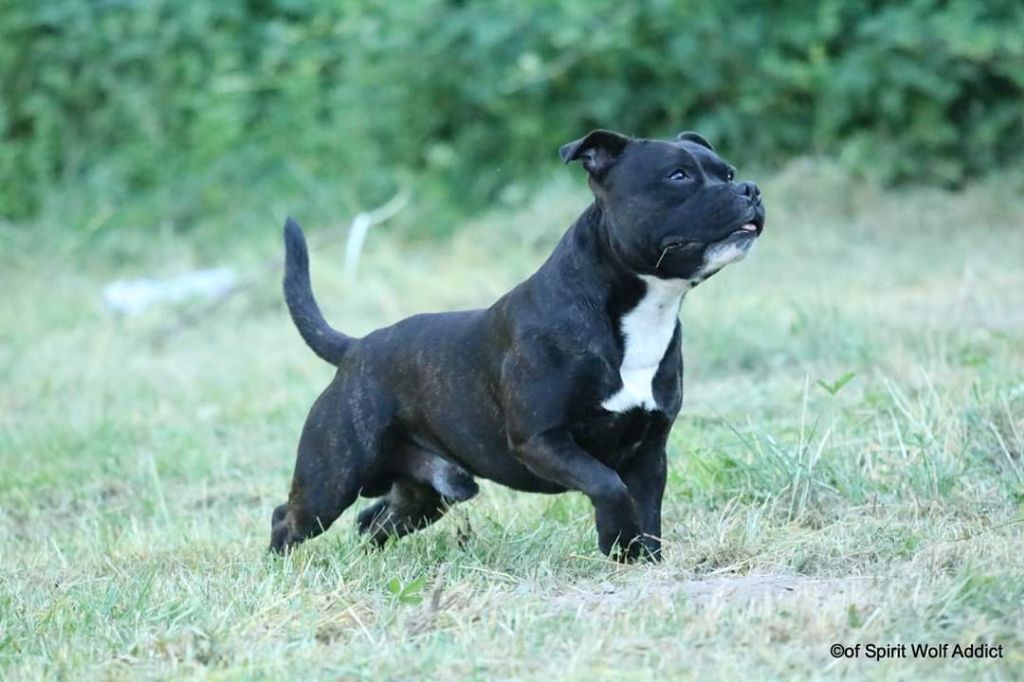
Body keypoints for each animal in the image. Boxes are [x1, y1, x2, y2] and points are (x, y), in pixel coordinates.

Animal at [270, 129, 765, 562]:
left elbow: (648, 514)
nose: (750, 188)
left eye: (727, 172)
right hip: (331, 480)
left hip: (428, 491)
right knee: (289, 517)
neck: (641, 311)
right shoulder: (542, 439)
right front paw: (617, 541)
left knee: (374, 520)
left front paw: (643, 560)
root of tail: (355, 349)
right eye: (677, 176)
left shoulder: (649, 451)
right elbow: (608, 483)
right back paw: (281, 569)